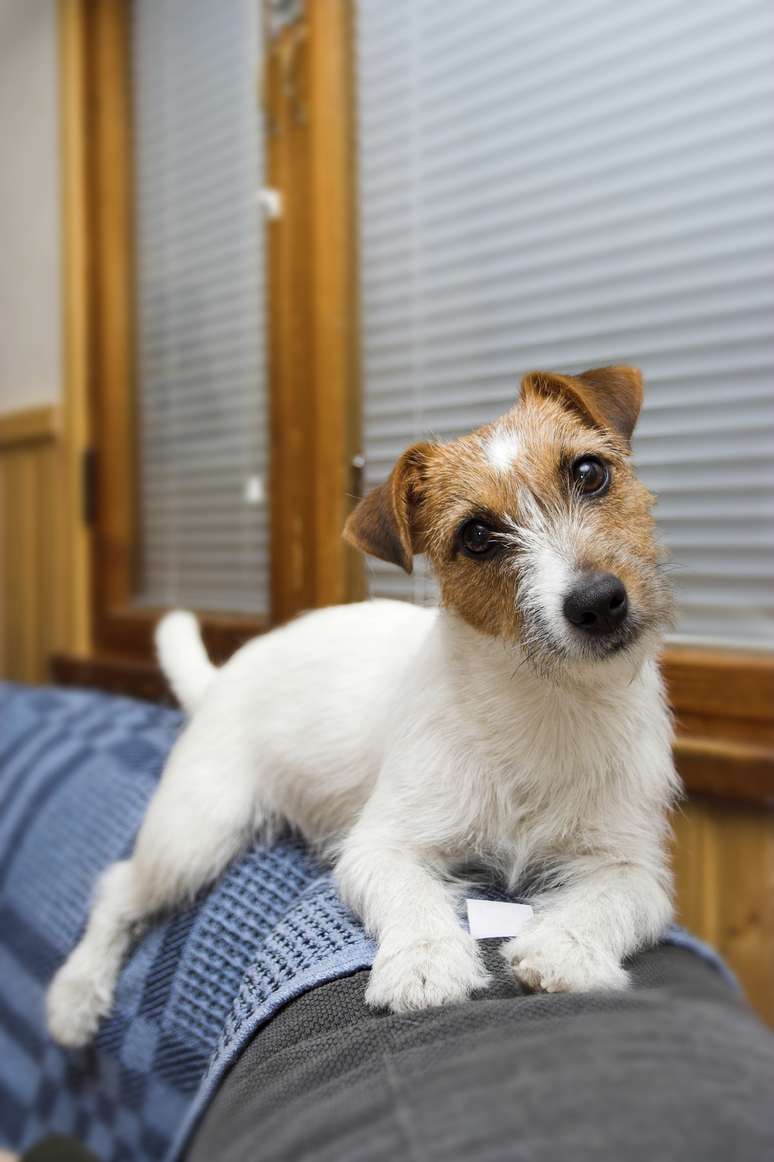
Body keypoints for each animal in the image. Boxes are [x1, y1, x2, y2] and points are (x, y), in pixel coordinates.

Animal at [46, 360, 674, 1045]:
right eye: (478, 535)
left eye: (589, 473)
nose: (598, 602)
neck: (546, 699)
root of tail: (222, 678)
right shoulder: (381, 845)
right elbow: (413, 897)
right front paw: (425, 962)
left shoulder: (631, 864)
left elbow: (608, 899)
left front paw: (564, 949)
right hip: (195, 833)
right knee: (118, 889)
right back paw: (75, 994)